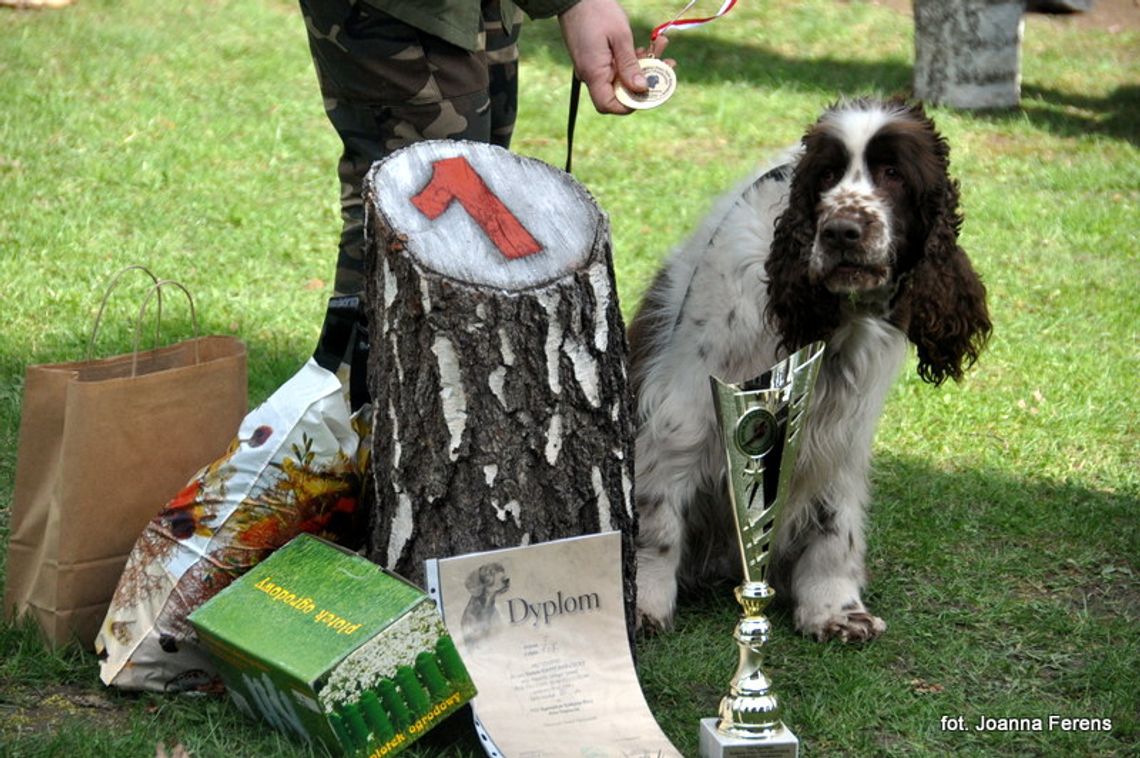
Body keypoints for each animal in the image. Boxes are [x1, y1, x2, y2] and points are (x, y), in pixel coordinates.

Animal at [629, 96, 994, 638]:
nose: (842, 231)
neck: (836, 321)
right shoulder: (684, 415)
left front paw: (834, 609)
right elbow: (656, 519)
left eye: (893, 173)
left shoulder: (838, 432)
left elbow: (833, 522)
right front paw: (643, 605)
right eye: (826, 175)